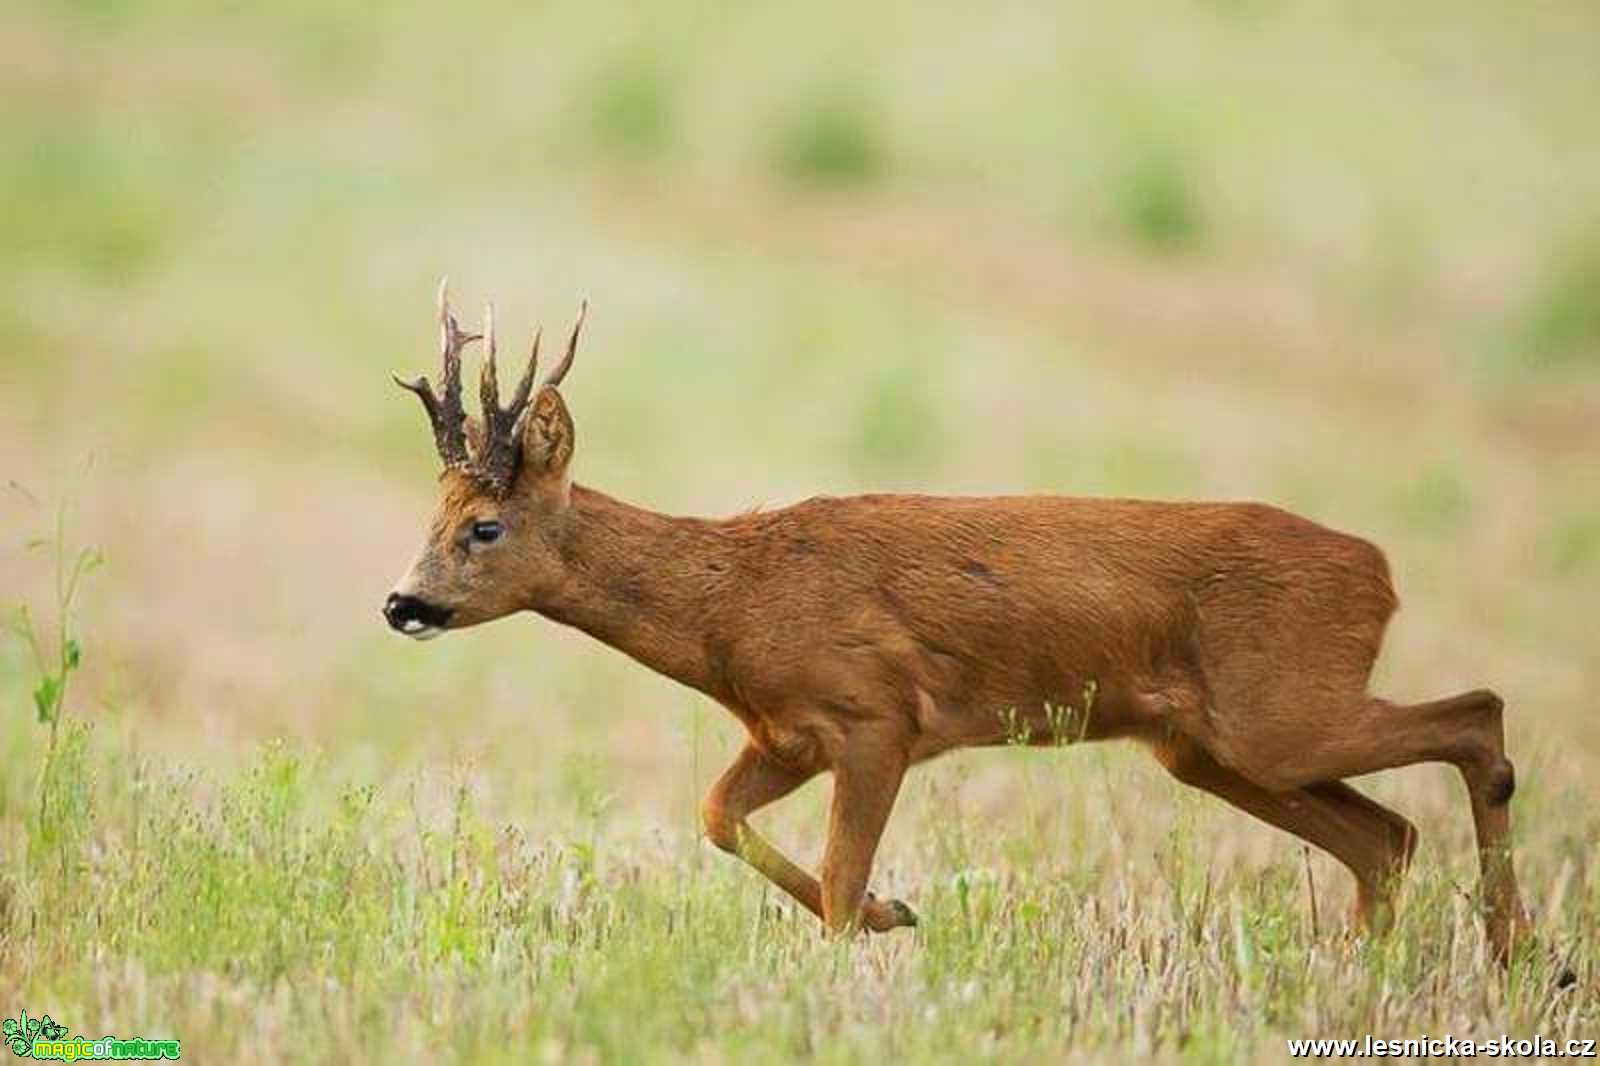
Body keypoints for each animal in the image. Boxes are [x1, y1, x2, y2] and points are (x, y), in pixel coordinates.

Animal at [377, 280, 1536, 953]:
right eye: (431, 514)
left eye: (484, 526)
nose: (401, 602)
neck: (733, 603)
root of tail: (1377, 570)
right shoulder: (786, 731)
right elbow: (716, 816)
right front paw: (893, 914)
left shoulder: (876, 714)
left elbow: (837, 876)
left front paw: (872, 926)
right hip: (1208, 745)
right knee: (1386, 835)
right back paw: (1378, 968)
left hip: (1279, 709)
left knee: (1478, 714)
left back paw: (1513, 947)